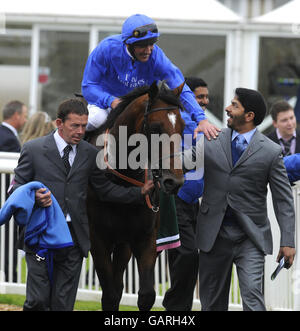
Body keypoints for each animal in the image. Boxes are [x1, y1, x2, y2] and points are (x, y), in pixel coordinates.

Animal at [86, 80, 185, 312]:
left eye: (183, 127)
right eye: (156, 127)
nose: (174, 182)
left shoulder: (144, 238)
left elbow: (146, 295)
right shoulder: (97, 239)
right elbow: (109, 296)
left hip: (124, 244)